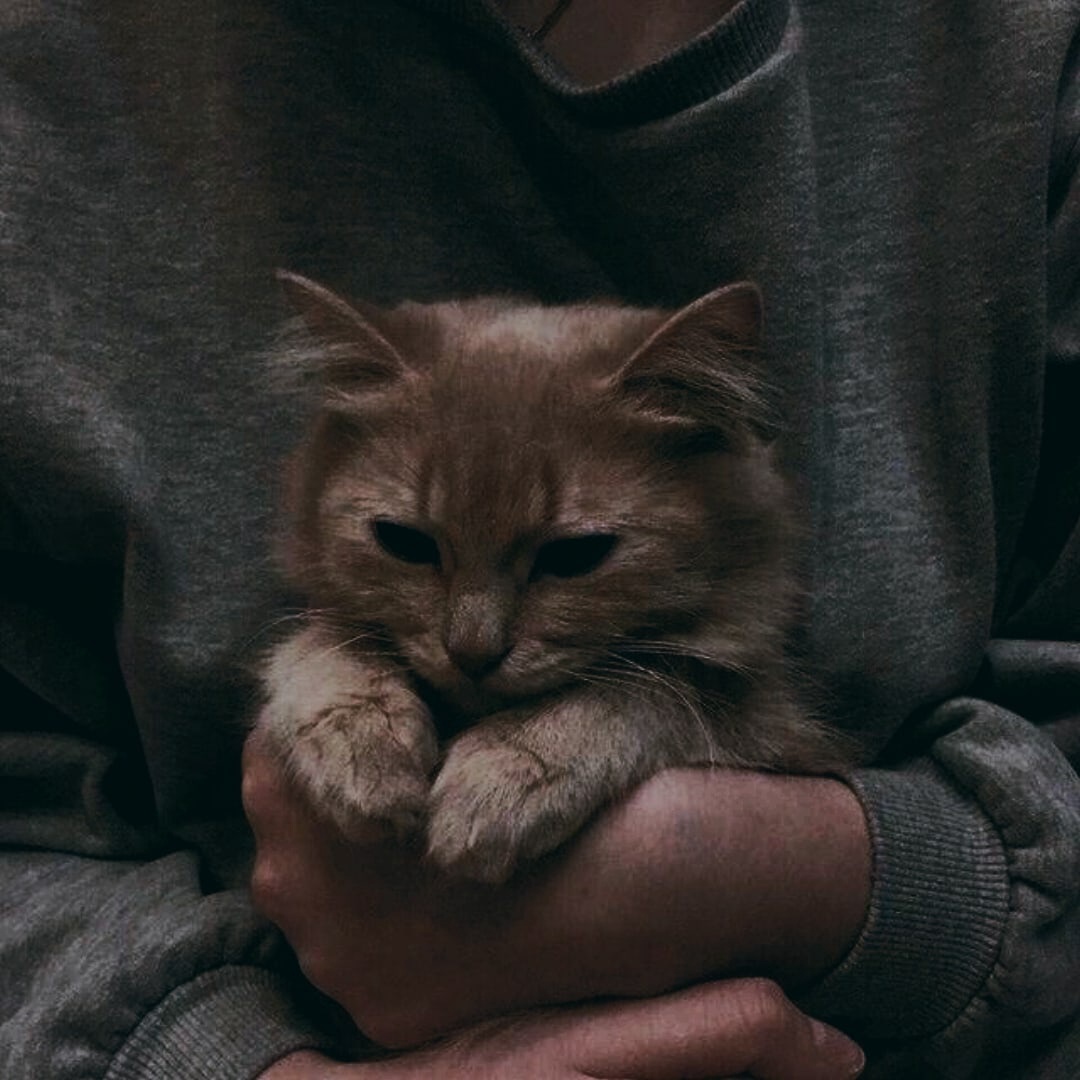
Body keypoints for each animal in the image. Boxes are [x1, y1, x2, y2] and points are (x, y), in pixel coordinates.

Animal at [256, 270, 849, 884]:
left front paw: (509, 775)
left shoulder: (780, 731)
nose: (471, 655)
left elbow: (643, 688)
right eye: (407, 543)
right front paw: (360, 743)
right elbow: (318, 645)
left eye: (575, 556)